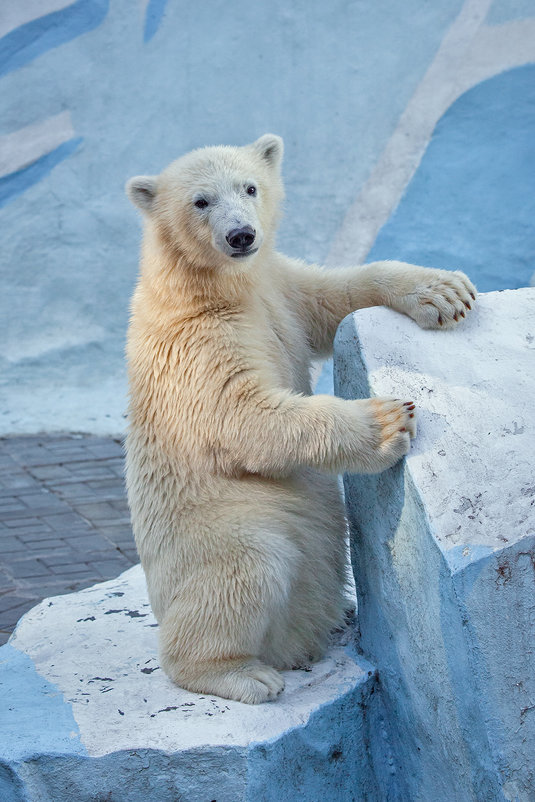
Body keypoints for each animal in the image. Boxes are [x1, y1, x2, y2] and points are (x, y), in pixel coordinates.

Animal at [125, 134, 478, 704]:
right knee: (248, 570)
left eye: (249, 186)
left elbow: (331, 299)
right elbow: (244, 415)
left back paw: (338, 616)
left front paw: (442, 291)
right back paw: (239, 673)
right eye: (200, 201)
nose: (241, 235)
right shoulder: (199, 342)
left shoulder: (279, 289)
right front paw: (386, 423)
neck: (213, 287)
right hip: (221, 531)